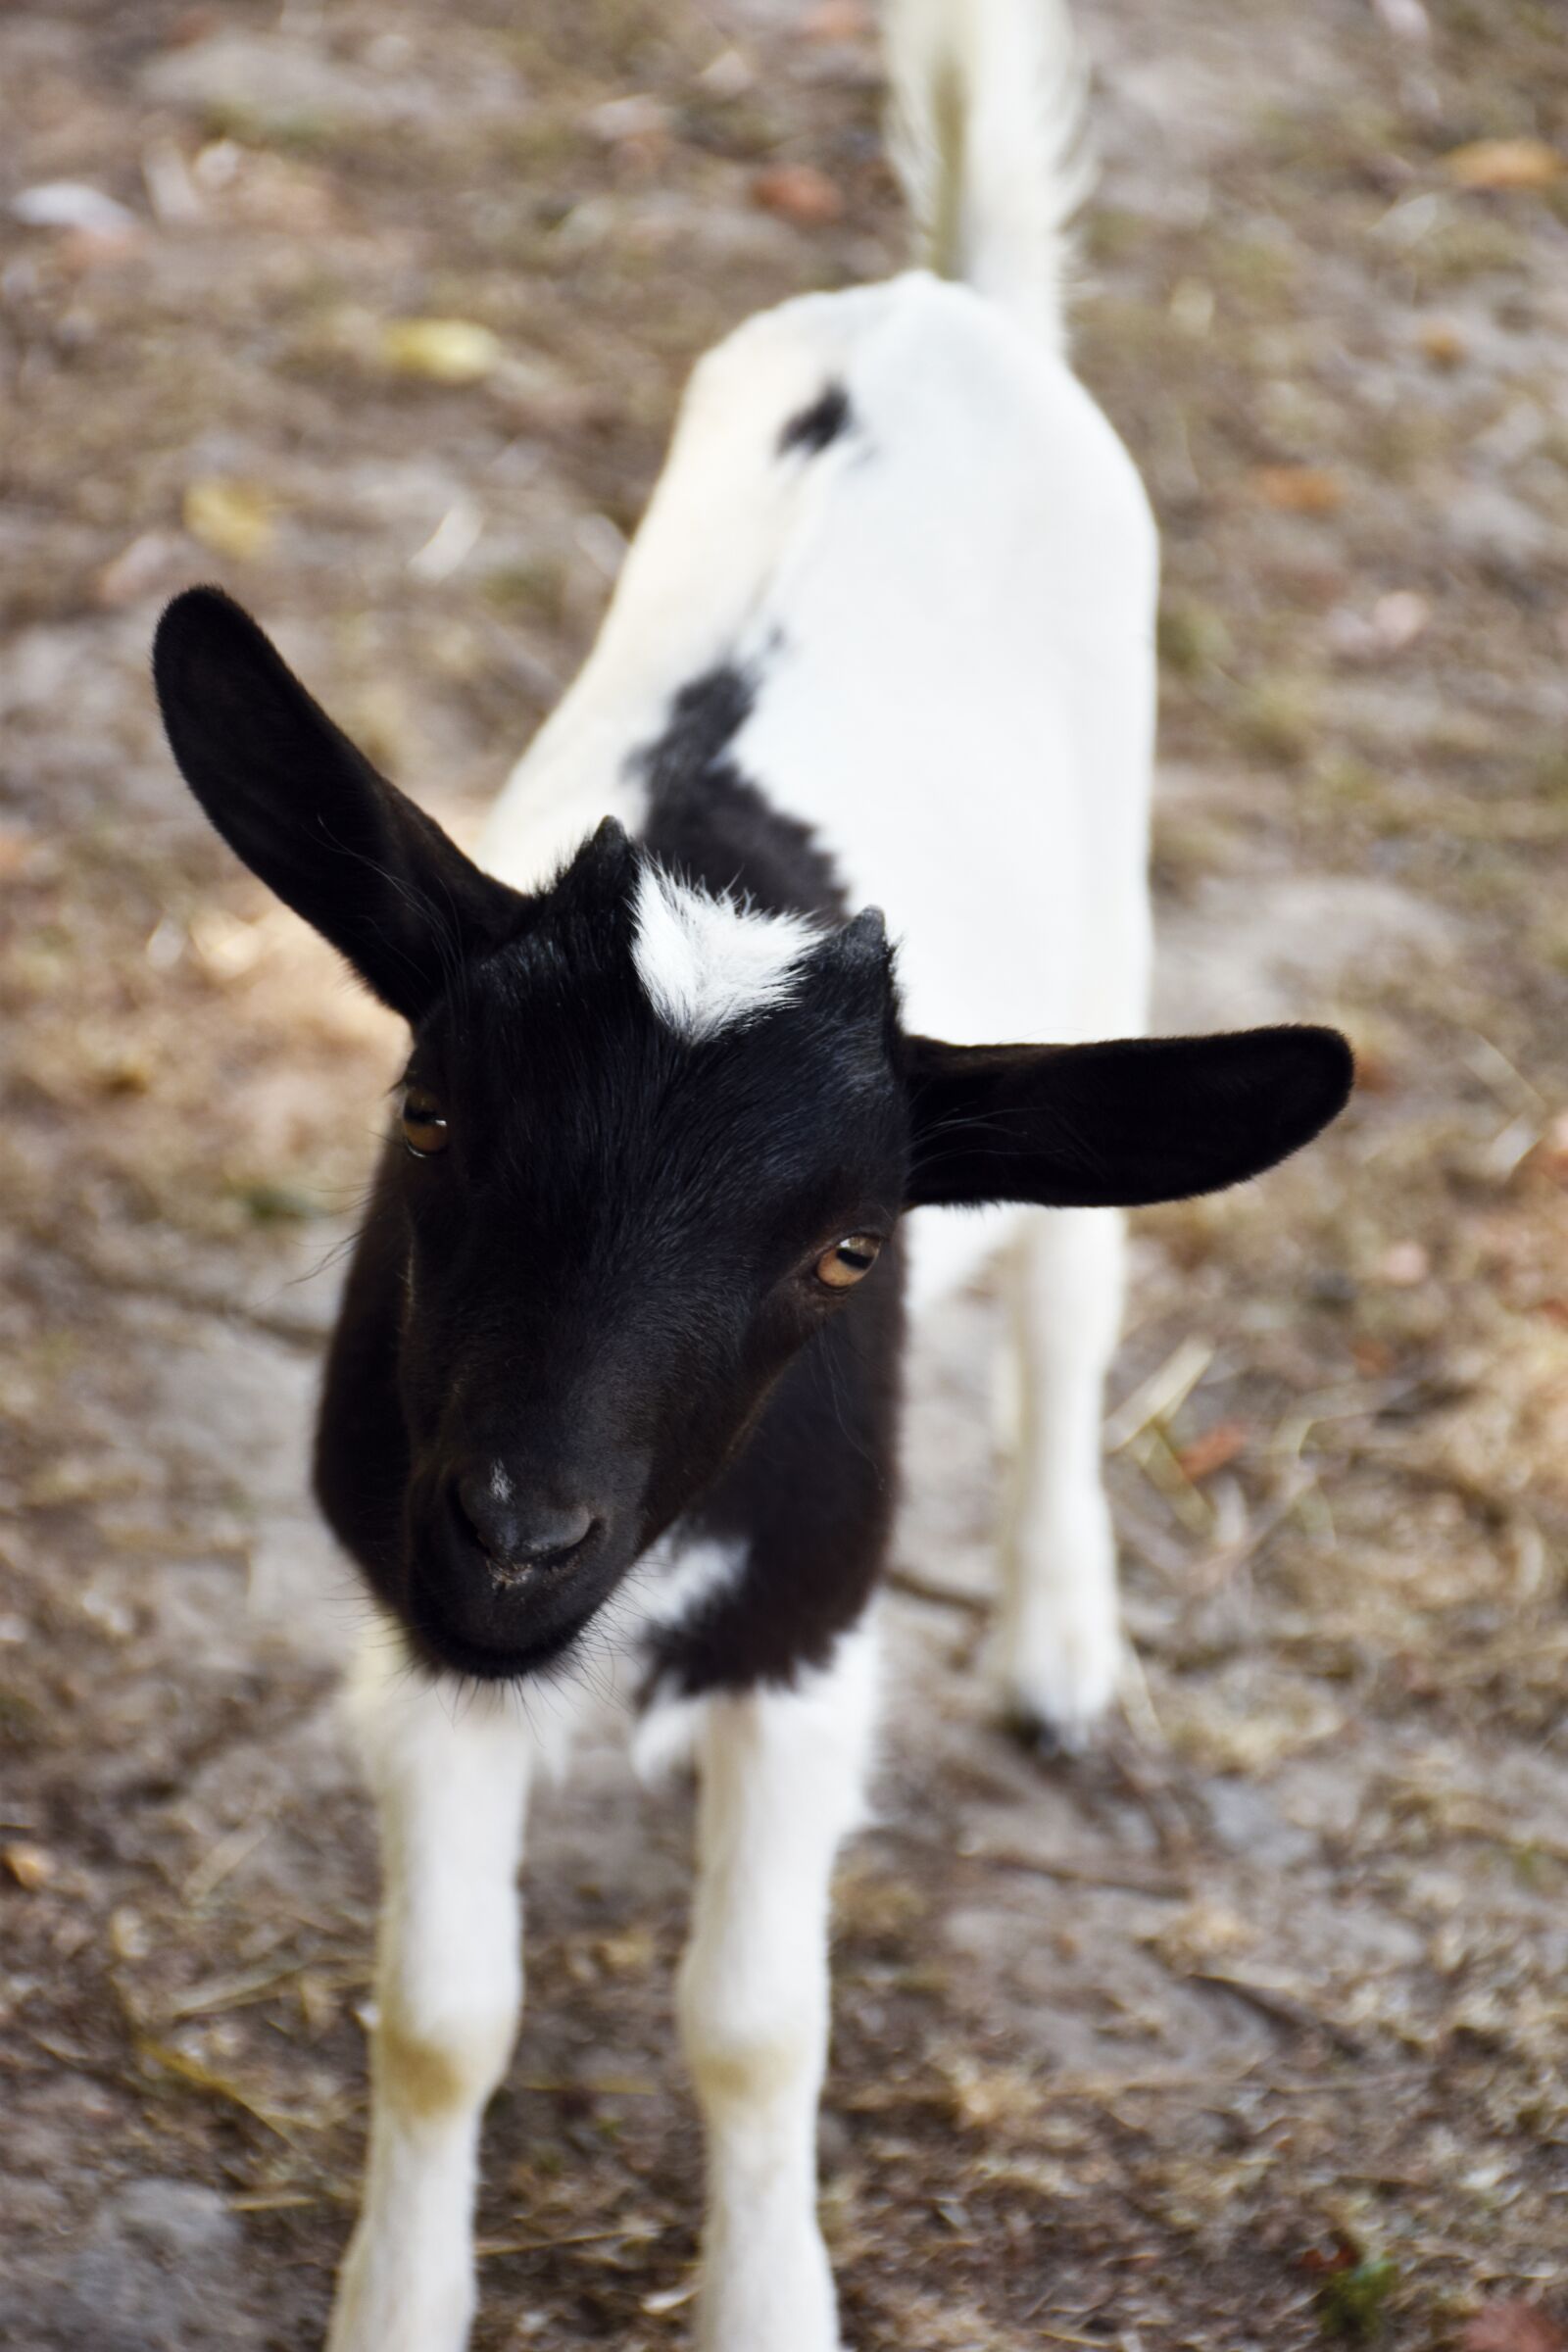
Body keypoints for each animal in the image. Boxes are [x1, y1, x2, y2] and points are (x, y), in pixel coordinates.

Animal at [151, 0, 1353, 2344]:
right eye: (427, 1121)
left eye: (845, 1255)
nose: (522, 1527)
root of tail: (942, 302)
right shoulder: (413, 1620)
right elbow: (442, 2017)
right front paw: (400, 2299)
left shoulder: (806, 1638)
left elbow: (753, 2026)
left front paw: (766, 2299)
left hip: (1113, 910)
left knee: (1073, 1313)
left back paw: (1059, 1652)